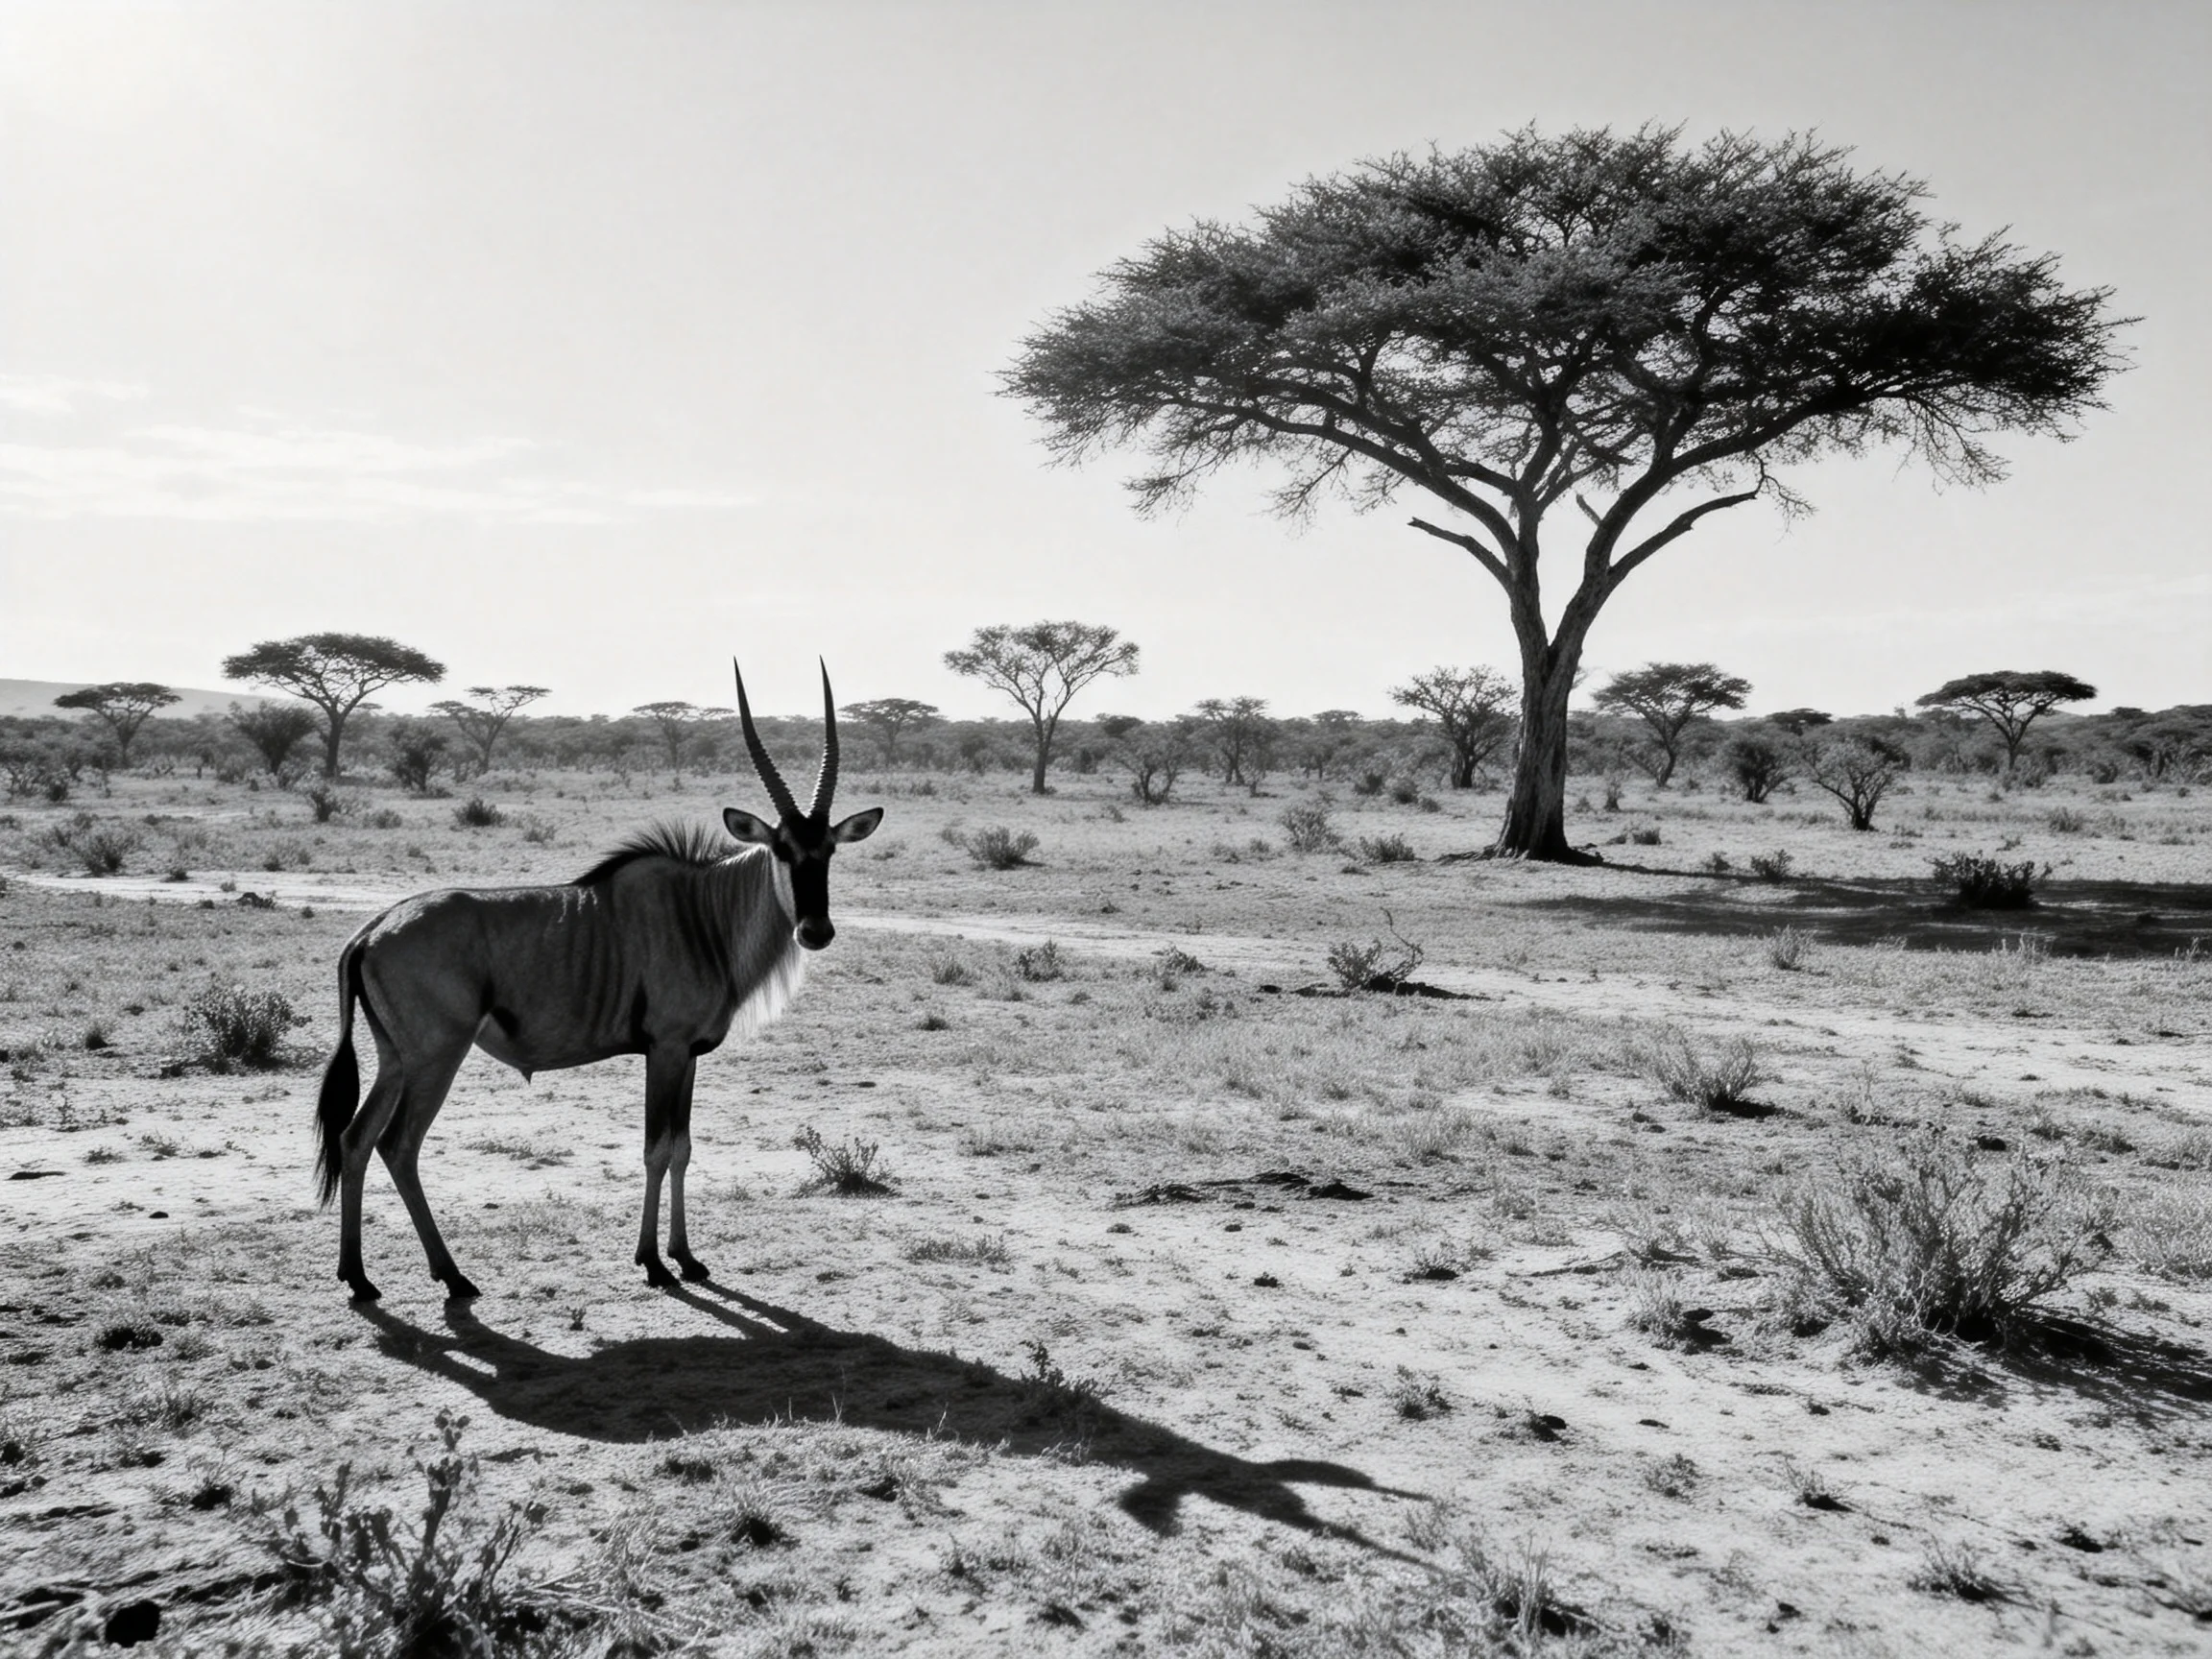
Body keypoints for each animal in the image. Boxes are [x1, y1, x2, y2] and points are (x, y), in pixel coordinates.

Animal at [314, 662, 882, 1300]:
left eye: (828, 849)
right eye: (781, 849)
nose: (815, 930)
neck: (704, 911)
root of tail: (373, 930)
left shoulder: (689, 1056)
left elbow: (683, 1148)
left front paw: (688, 1257)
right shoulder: (665, 1050)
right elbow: (657, 1149)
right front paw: (653, 1262)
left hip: (396, 1058)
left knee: (356, 1139)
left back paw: (359, 1277)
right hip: (437, 1056)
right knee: (398, 1145)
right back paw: (453, 1276)